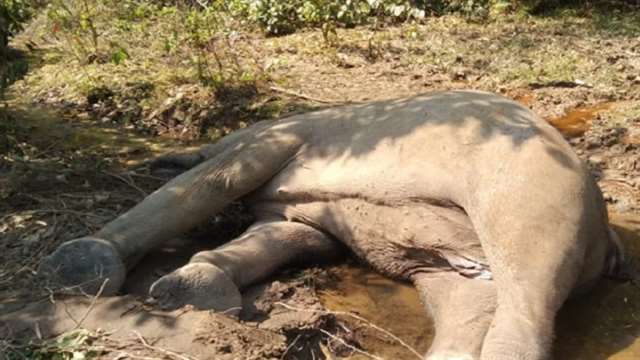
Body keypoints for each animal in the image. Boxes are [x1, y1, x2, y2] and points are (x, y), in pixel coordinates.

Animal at [41, 90, 624, 360]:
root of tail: (608, 236)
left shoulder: (283, 139)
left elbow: (218, 179)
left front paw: (79, 268)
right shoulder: (294, 214)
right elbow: (290, 236)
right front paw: (192, 287)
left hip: (533, 193)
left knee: (524, 298)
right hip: (473, 256)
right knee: (469, 302)